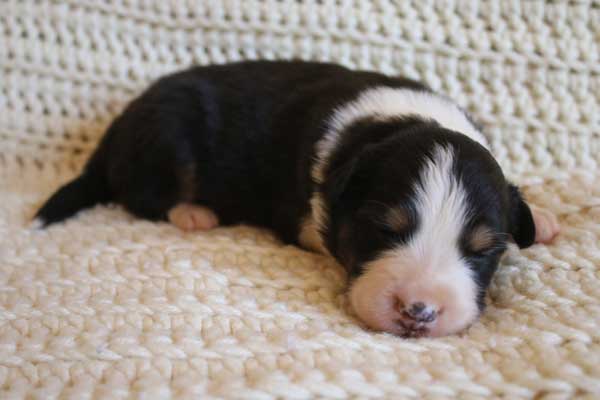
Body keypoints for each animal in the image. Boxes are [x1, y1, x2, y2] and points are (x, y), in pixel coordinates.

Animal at [35, 61, 560, 340]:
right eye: (383, 230)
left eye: (484, 251)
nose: (419, 311)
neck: (400, 123)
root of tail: (117, 126)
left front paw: (544, 218)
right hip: (166, 142)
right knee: (140, 195)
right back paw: (194, 212)